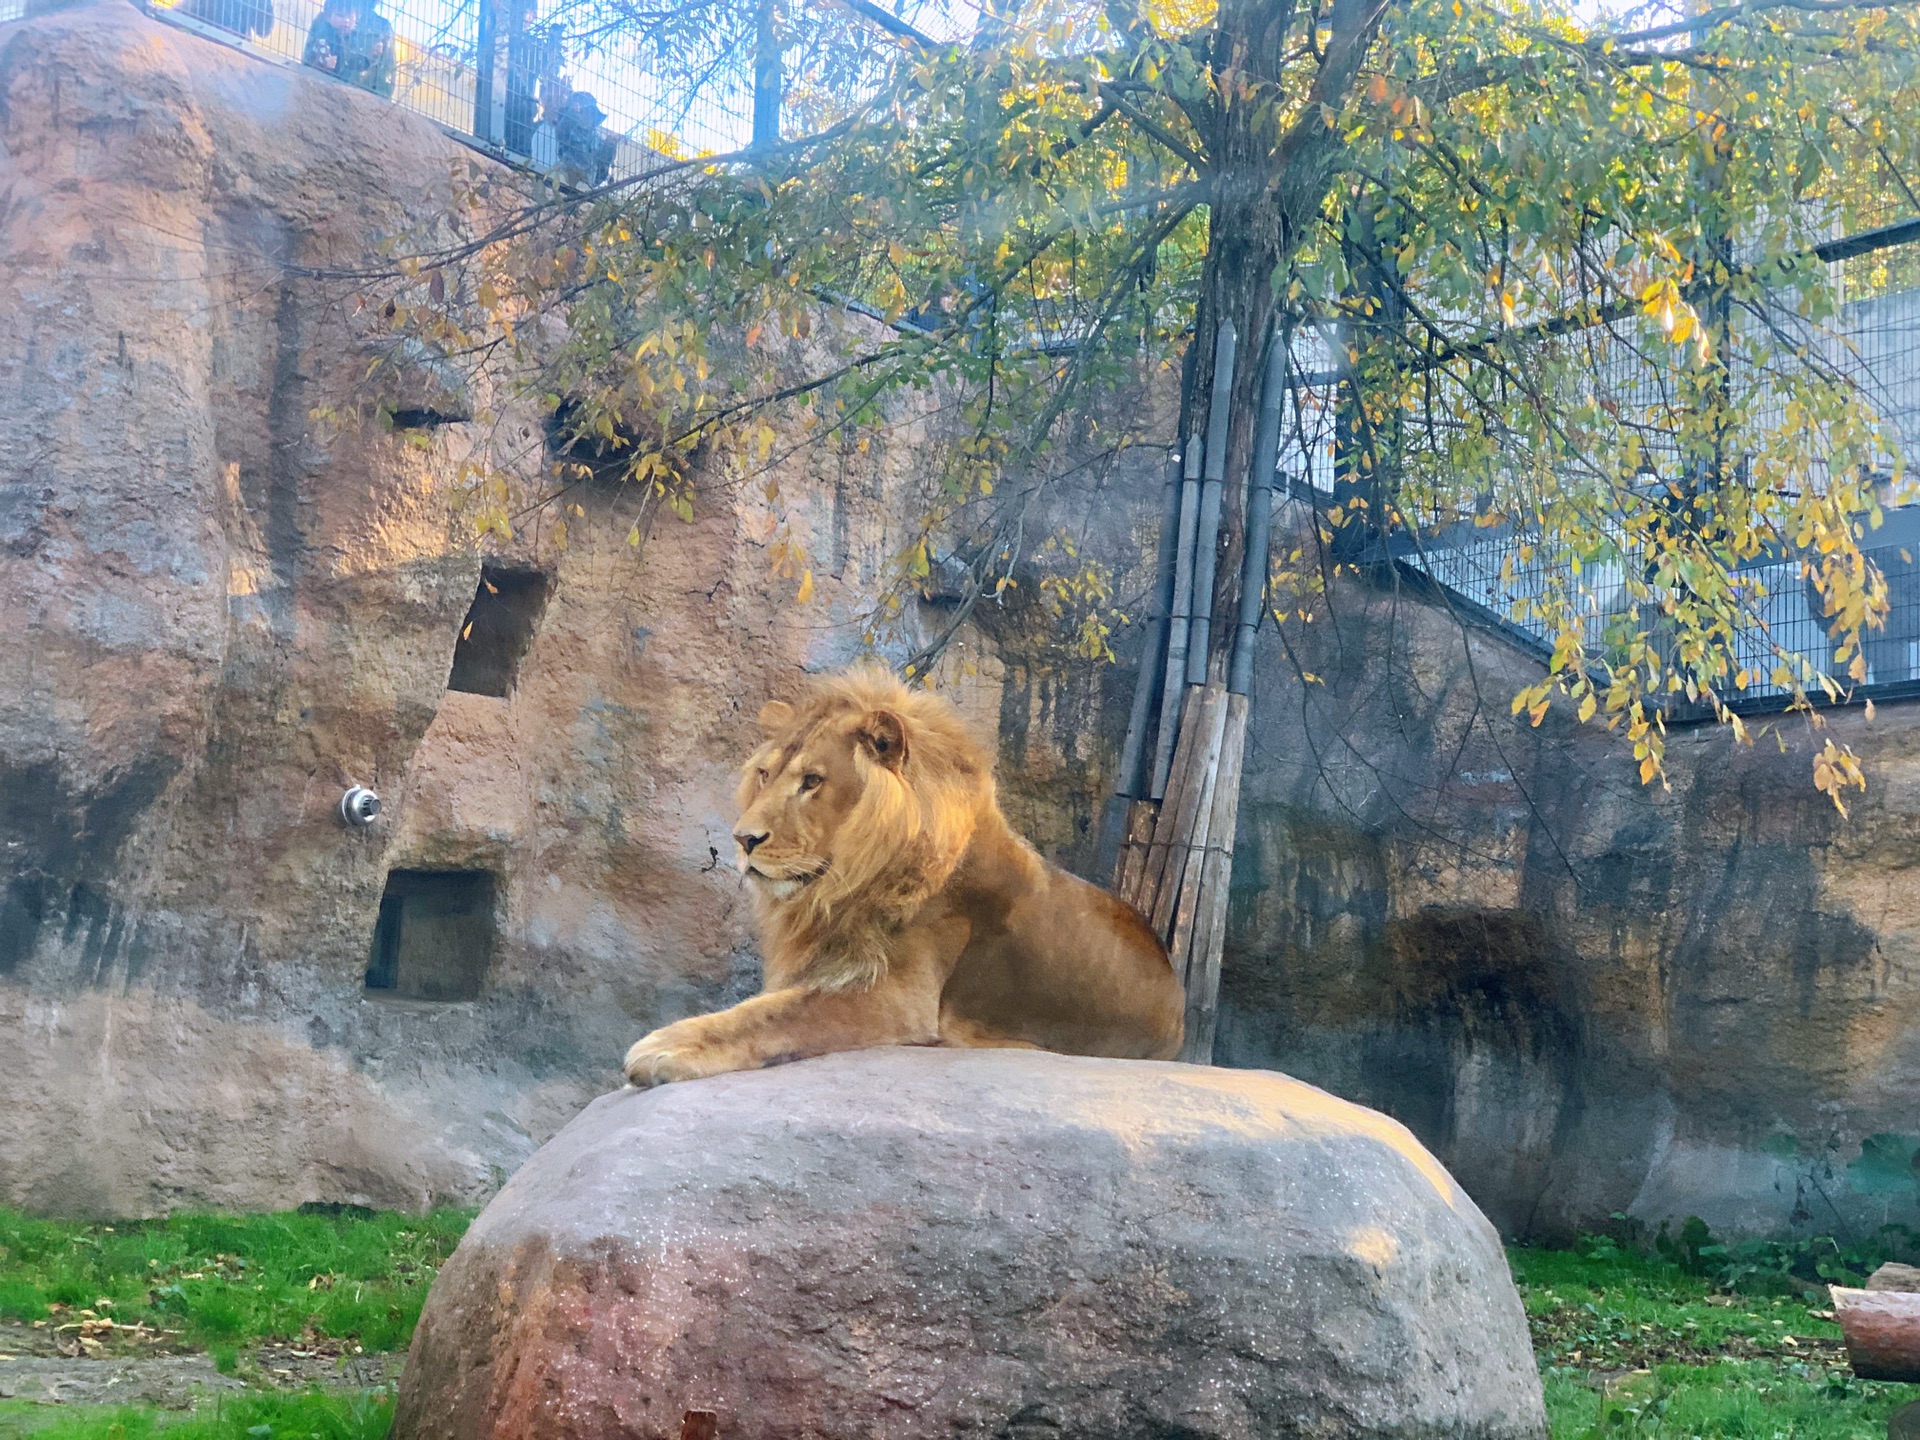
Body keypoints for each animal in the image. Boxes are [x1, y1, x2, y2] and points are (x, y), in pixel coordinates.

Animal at [622, 664, 1182, 1082]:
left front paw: (666, 1046)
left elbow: (771, 1013)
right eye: (764, 774)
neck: (841, 888)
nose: (743, 839)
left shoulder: (895, 999)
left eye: (812, 781)